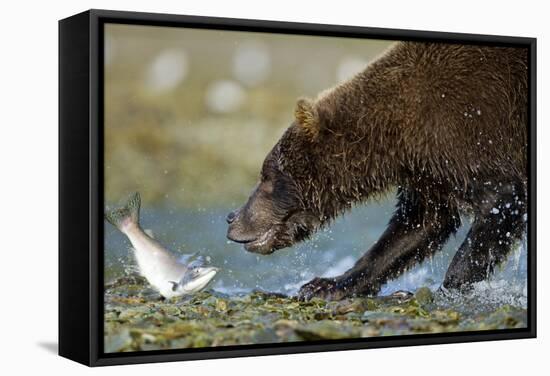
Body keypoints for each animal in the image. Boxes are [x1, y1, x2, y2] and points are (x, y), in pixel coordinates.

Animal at [225, 40, 532, 300]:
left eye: (266, 176)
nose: (232, 217)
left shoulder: (470, 133)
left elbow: (502, 200)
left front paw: (449, 287)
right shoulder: (428, 173)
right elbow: (415, 227)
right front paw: (326, 285)